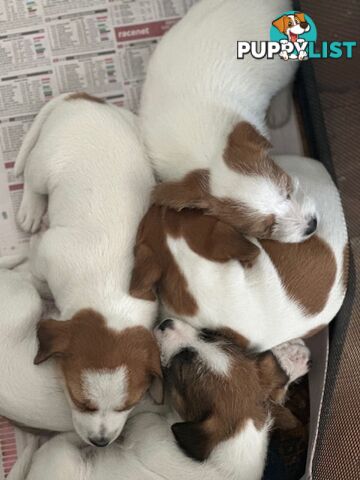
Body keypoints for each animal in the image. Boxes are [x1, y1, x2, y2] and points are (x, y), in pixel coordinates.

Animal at [14, 93, 160, 446]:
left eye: (129, 405)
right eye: (80, 401)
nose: (101, 442)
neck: (108, 298)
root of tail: (82, 97)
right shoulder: (50, 251)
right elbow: (37, 269)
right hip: (44, 162)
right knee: (31, 180)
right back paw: (31, 210)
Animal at [24, 318, 310, 480]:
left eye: (181, 368)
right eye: (210, 335)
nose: (165, 322)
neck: (239, 434)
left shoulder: (148, 430)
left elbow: (144, 417)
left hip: (61, 458)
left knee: (62, 442)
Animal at [139, 0, 316, 240]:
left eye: (287, 190)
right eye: (264, 229)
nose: (312, 226)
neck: (209, 156)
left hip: (283, 66)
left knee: (287, 82)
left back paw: (280, 109)